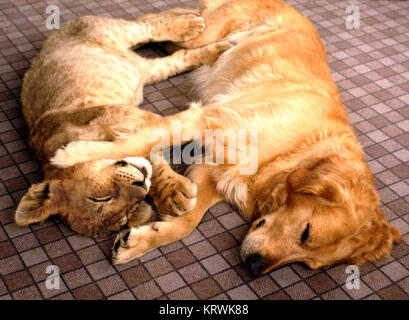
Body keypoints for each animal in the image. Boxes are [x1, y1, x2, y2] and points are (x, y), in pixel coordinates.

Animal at [16, 8, 230, 238]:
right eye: (129, 209)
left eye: (101, 198)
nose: (141, 183)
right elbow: (145, 152)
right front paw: (170, 192)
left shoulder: (121, 113)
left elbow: (146, 144)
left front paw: (174, 190)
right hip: (147, 70)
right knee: (175, 56)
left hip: (115, 32)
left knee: (145, 25)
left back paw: (190, 21)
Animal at [50, 0, 398, 276]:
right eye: (306, 232)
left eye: (307, 263)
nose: (255, 268)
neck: (292, 152)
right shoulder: (207, 119)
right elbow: (142, 140)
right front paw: (76, 154)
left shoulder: (214, 172)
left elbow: (188, 221)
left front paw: (139, 241)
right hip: (205, 32)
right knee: (163, 23)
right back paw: (184, 23)